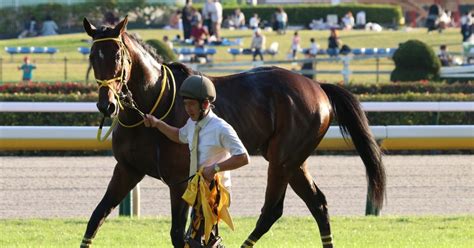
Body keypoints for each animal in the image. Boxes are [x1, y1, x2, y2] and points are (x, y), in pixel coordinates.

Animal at [80, 16, 386, 248]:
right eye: (94, 56)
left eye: (117, 56)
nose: (106, 104)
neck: (155, 102)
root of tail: (318, 86)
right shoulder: (127, 169)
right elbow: (96, 216)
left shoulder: (180, 180)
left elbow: (179, 234)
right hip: (294, 162)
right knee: (317, 204)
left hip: (282, 159)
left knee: (272, 209)